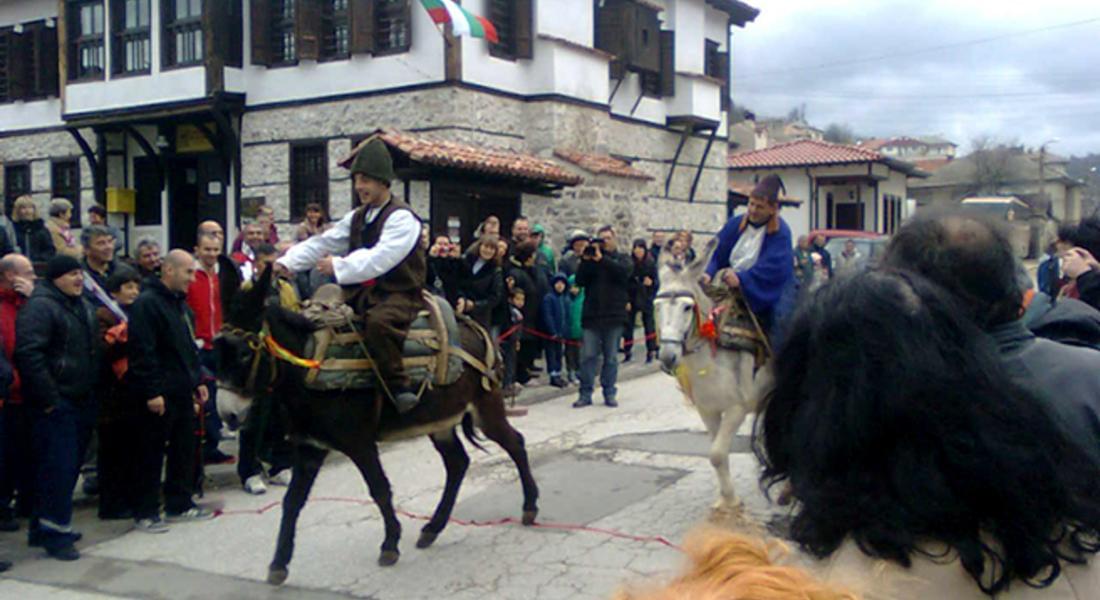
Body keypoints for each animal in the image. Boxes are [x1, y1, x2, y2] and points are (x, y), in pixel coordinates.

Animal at [651, 243, 774, 515]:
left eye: (687, 307)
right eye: (657, 306)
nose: (667, 357)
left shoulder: (737, 408)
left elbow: (717, 453)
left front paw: (731, 501)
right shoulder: (708, 410)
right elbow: (717, 455)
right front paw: (727, 500)